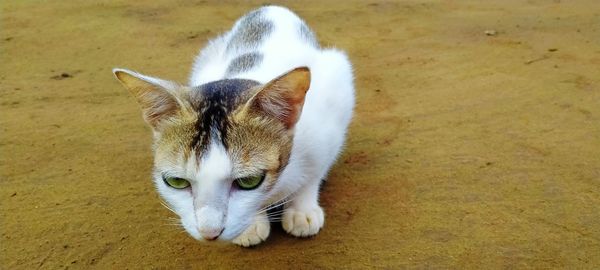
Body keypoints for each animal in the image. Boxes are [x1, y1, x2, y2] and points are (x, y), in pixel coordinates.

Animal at [113, 5, 352, 247]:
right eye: (176, 181)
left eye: (249, 181)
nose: (209, 232)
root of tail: (270, 8)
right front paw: (253, 225)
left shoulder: (328, 128)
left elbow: (314, 174)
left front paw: (302, 210)